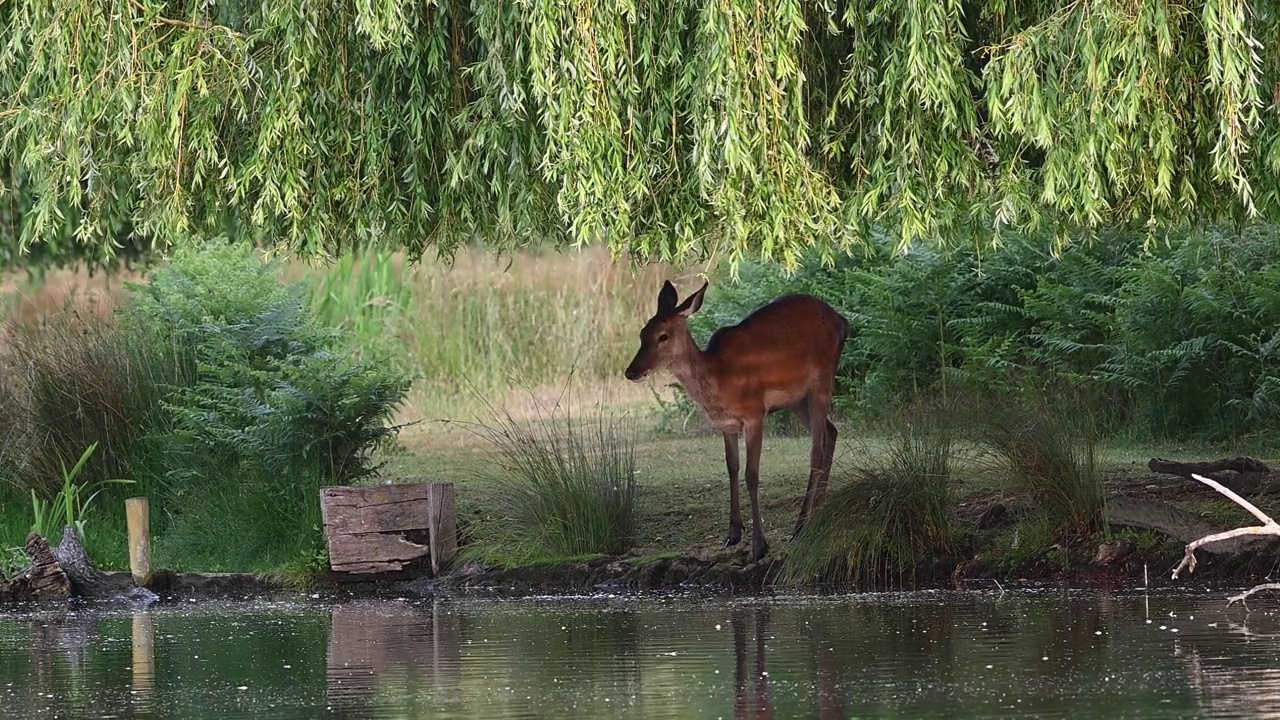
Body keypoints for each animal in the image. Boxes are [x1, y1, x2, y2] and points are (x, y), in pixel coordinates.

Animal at [622, 279, 849, 561]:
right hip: (797, 398)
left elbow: (752, 474)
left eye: (663, 336)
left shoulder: (754, 414)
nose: (632, 371)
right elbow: (732, 468)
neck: (719, 382)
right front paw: (733, 533)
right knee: (831, 432)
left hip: (823, 378)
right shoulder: (727, 424)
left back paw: (800, 526)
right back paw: (817, 513)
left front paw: (759, 546)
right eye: (642, 332)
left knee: (817, 448)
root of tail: (842, 321)